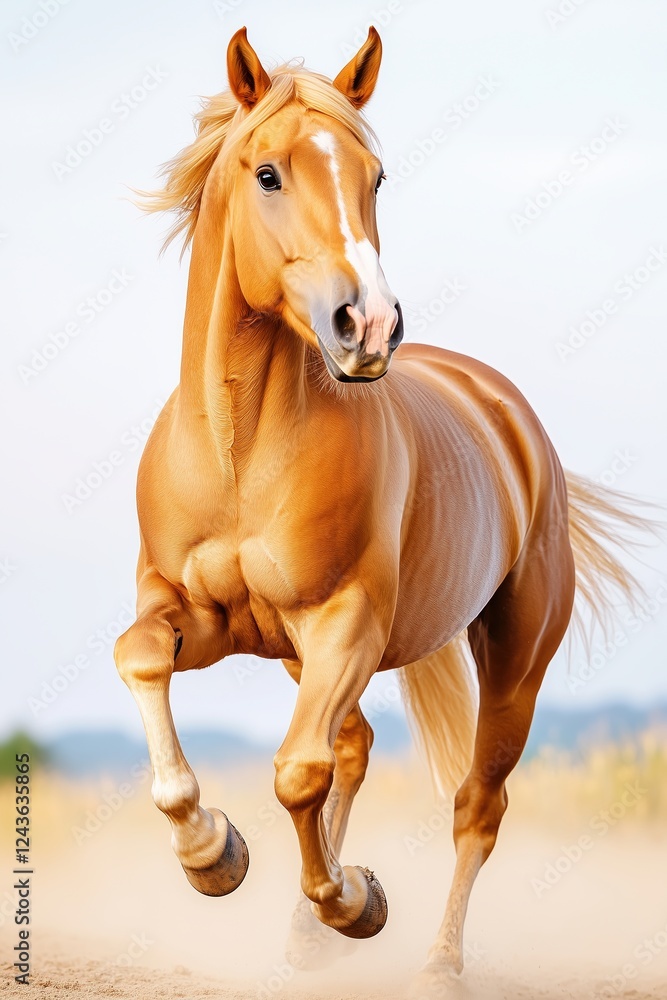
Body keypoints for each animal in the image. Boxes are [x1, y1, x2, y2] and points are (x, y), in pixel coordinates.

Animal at [114, 26, 649, 993]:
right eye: (268, 174)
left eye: (375, 176)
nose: (366, 327)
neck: (241, 452)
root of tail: (502, 410)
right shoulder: (199, 615)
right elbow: (140, 660)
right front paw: (213, 854)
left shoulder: (346, 623)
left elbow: (298, 772)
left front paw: (353, 902)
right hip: (301, 654)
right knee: (355, 748)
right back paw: (303, 935)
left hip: (510, 660)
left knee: (474, 804)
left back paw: (434, 961)